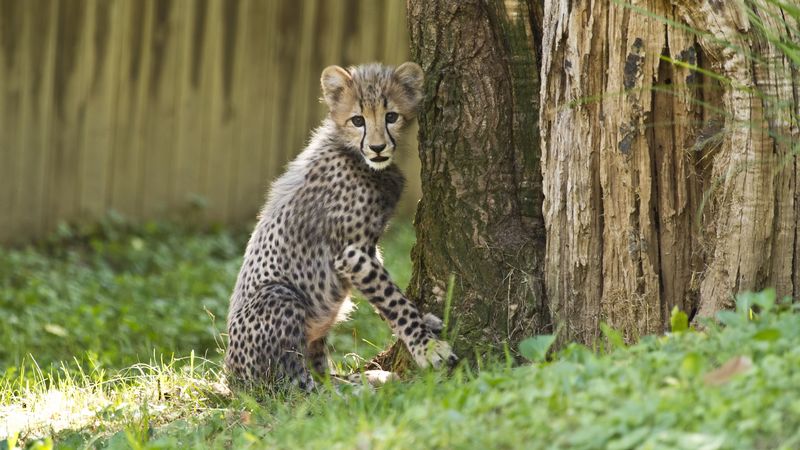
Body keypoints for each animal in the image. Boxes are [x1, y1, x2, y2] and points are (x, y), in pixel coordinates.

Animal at [224, 61, 457, 390]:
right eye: (357, 120)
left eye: (391, 116)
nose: (377, 148)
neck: (354, 153)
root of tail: (230, 376)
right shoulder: (352, 254)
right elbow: (393, 300)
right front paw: (426, 346)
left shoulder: (368, 251)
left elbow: (390, 292)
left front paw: (425, 320)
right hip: (279, 296)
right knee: (298, 388)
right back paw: (361, 389)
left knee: (320, 372)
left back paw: (365, 378)